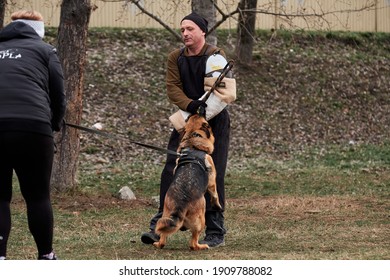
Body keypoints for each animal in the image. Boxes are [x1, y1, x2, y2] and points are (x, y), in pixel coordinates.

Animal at [153, 112, 221, 250]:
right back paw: (202, 246)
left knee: (163, 238)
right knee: (193, 243)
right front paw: (218, 205)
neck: (192, 140)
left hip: (165, 217)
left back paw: (157, 243)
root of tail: (180, 204)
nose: (198, 110)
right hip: (200, 220)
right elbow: (215, 194)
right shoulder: (212, 180)